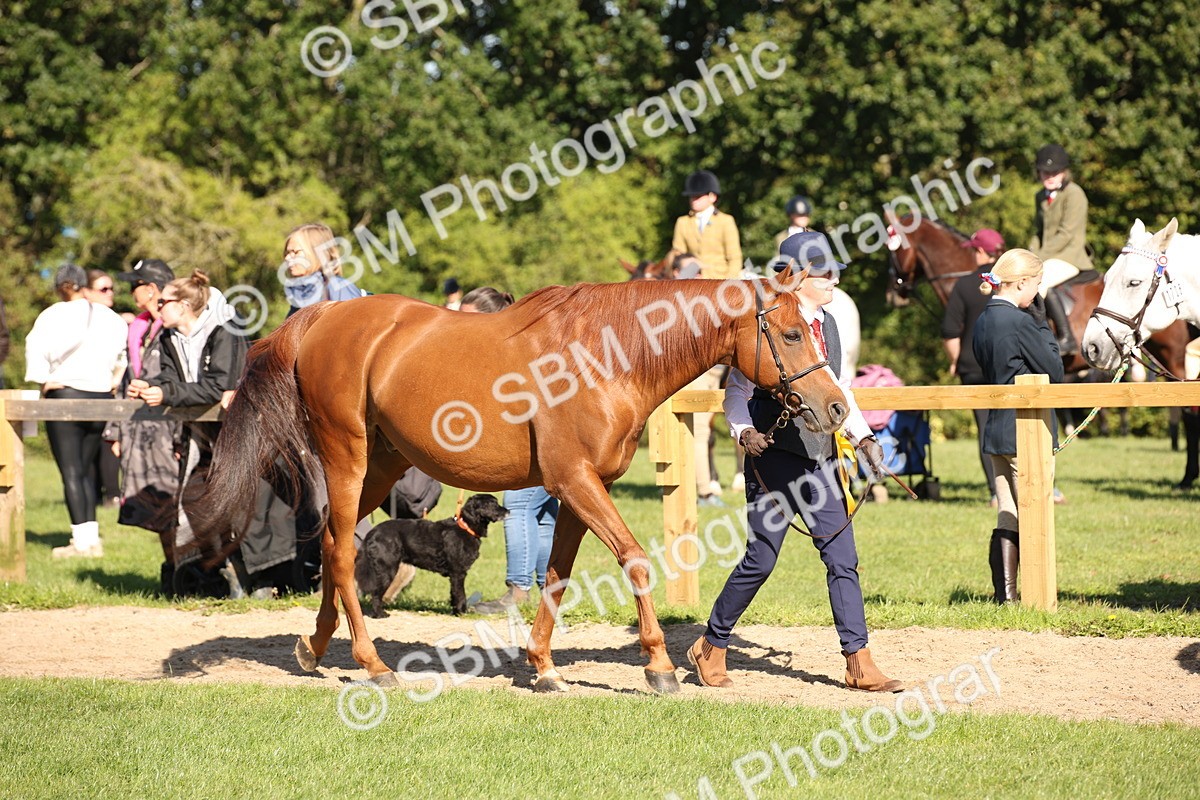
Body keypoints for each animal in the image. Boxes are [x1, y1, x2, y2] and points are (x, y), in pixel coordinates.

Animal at [196, 271, 848, 692]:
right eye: (792, 334)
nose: (837, 407)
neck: (607, 356)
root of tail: (326, 315)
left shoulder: (575, 492)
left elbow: (556, 577)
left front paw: (543, 666)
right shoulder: (578, 482)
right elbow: (635, 559)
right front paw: (659, 667)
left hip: (380, 465)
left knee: (337, 545)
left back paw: (315, 647)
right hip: (347, 458)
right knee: (339, 551)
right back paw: (371, 663)